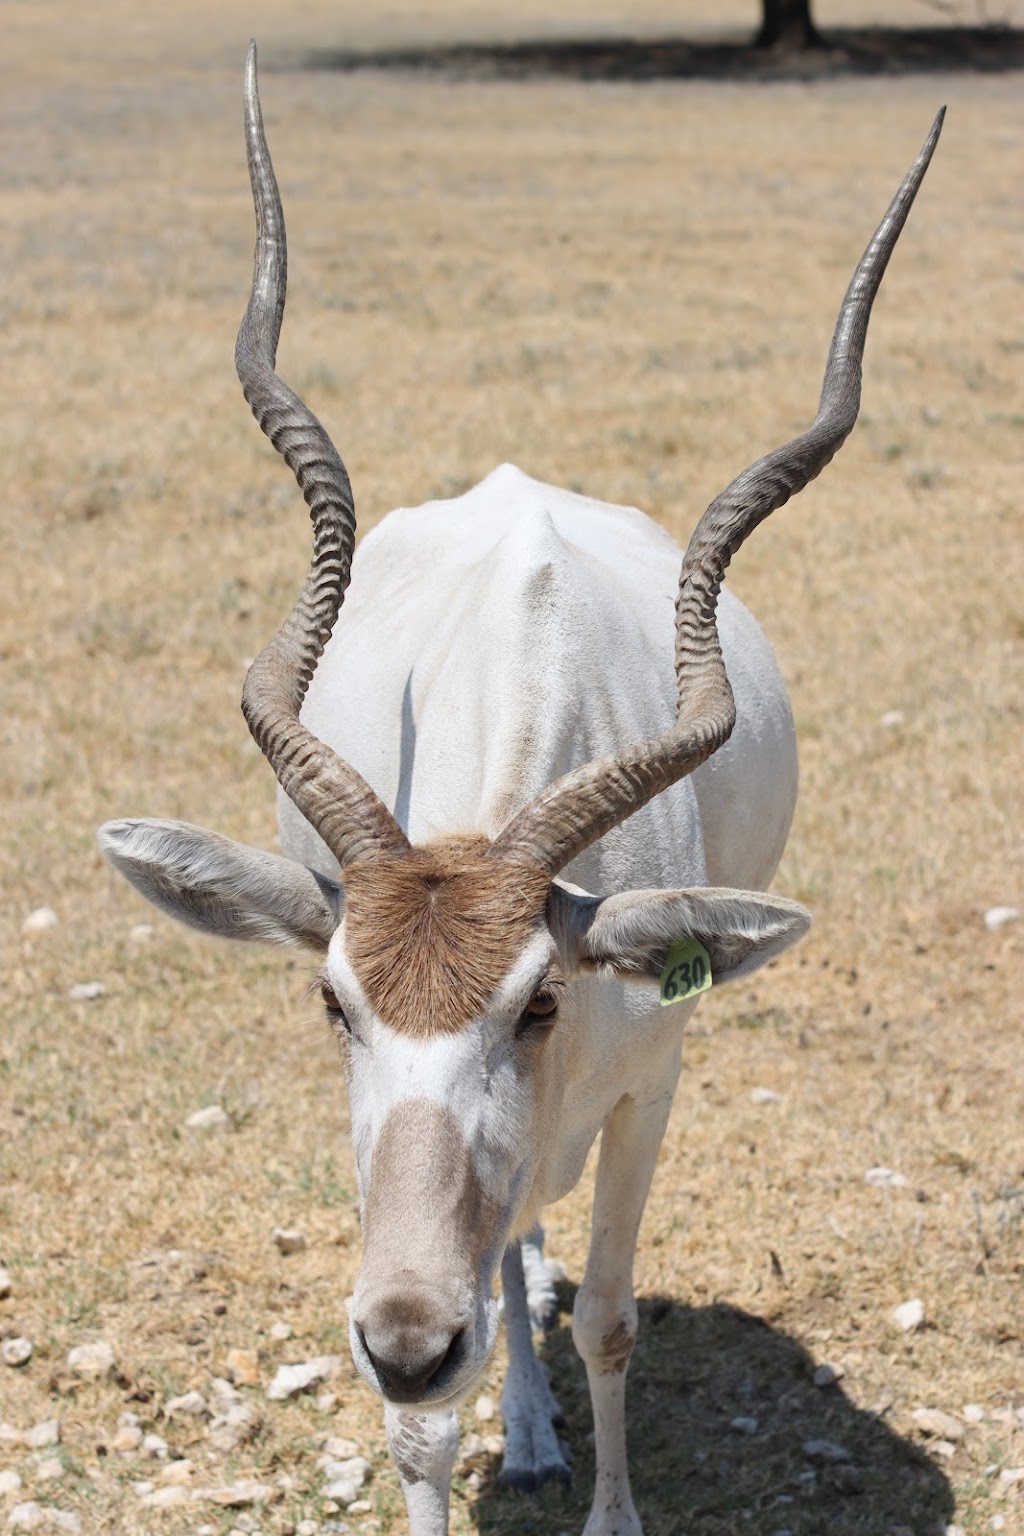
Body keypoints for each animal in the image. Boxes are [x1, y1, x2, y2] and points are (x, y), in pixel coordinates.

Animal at [98, 44, 945, 1536]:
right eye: (334, 1004)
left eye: (538, 1001)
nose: (404, 1336)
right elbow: (431, 1409)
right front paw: (482, 1422)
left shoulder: (653, 1079)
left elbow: (606, 1315)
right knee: (501, 1256)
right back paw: (532, 1428)